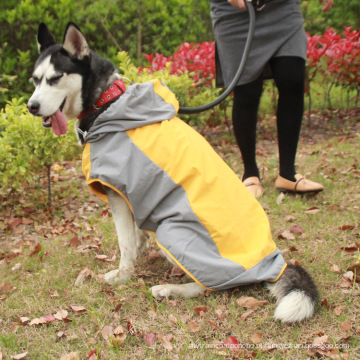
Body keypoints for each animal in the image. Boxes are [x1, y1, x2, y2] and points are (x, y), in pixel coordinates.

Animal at [28, 22, 320, 322]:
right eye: (35, 80)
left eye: (55, 79)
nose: (31, 107)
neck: (107, 102)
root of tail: (273, 264)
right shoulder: (132, 191)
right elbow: (135, 232)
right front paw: (140, 250)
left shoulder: (116, 191)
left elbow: (124, 242)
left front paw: (122, 275)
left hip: (171, 232)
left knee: (212, 287)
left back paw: (168, 289)